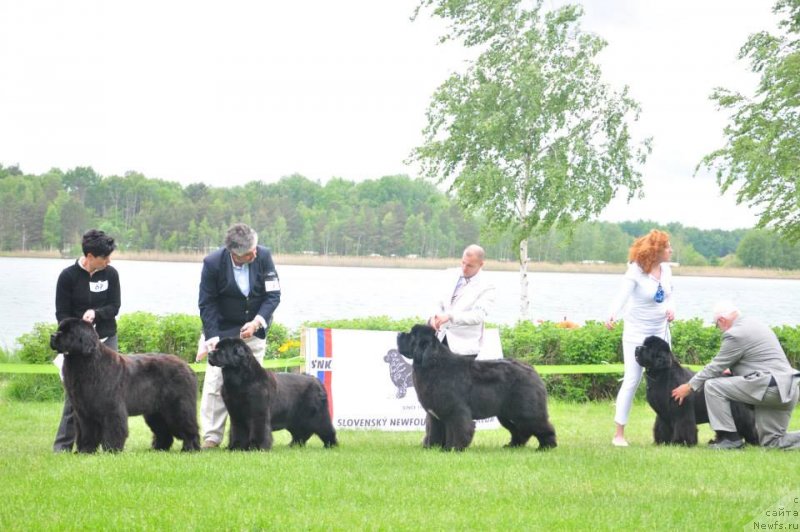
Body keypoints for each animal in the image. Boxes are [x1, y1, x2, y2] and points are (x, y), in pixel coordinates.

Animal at [48, 318, 202, 450]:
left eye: (69, 332)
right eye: (60, 329)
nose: (53, 335)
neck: (84, 361)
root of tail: (187, 367)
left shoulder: (111, 407)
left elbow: (114, 429)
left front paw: (112, 450)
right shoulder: (83, 411)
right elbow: (87, 432)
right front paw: (86, 450)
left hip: (178, 407)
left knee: (188, 426)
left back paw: (190, 448)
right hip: (155, 412)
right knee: (163, 431)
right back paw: (158, 449)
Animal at [208, 336, 336, 448]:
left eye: (222, 350)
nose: (209, 353)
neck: (239, 380)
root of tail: (316, 380)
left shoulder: (258, 412)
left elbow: (259, 430)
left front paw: (256, 447)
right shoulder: (236, 414)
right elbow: (238, 431)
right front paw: (237, 447)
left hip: (317, 415)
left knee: (326, 429)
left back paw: (330, 445)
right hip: (295, 418)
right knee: (301, 433)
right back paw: (293, 445)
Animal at [396, 322, 556, 450]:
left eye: (412, 335)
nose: (398, 334)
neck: (433, 366)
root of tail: (531, 369)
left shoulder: (456, 411)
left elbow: (458, 429)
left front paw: (453, 448)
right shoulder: (435, 414)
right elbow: (434, 431)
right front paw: (431, 448)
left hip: (527, 412)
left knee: (542, 426)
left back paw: (546, 447)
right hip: (506, 414)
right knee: (520, 431)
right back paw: (512, 446)